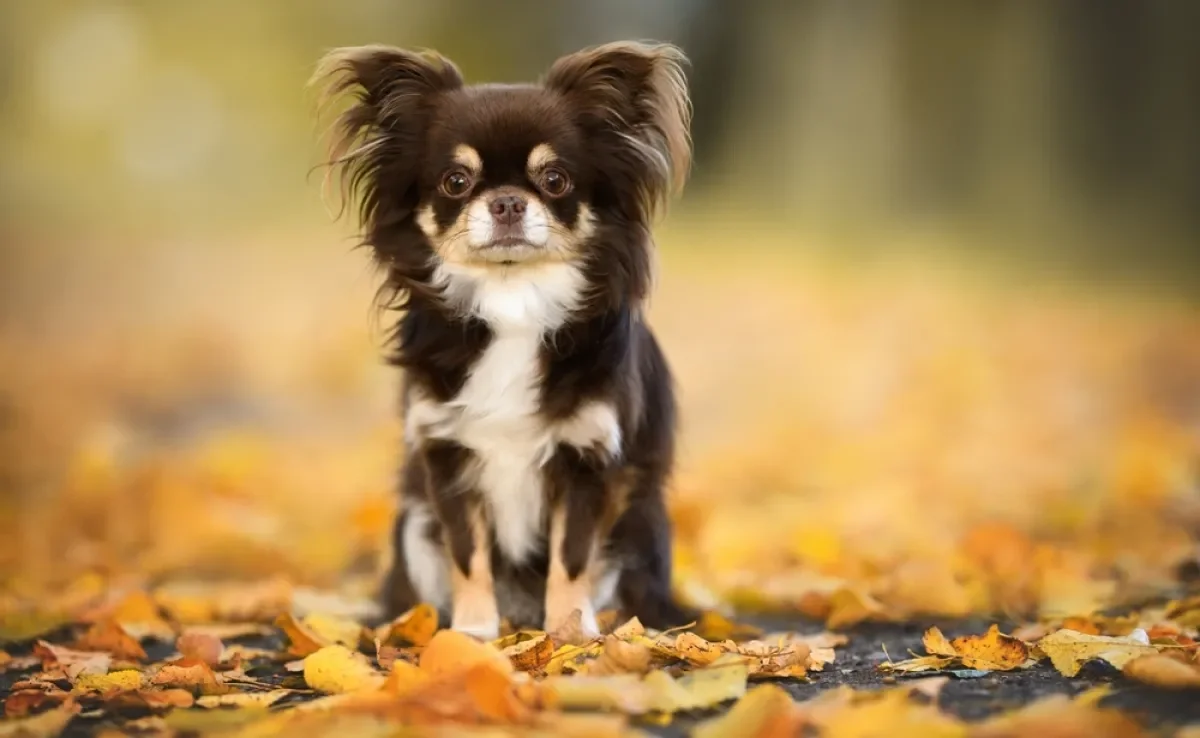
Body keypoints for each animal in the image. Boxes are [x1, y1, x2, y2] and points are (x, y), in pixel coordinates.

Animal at [314, 40, 700, 643]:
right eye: (455, 181)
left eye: (556, 180)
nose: (508, 202)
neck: (514, 301)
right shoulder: (448, 456)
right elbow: (468, 554)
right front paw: (473, 632)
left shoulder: (585, 459)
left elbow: (571, 557)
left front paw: (568, 634)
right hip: (413, 524)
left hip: (639, 525)